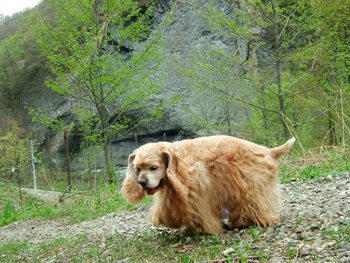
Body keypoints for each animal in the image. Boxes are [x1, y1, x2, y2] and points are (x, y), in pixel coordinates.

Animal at [121, 135, 294, 234]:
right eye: (137, 169)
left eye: (154, 167)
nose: (142, 182)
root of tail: (268, 150)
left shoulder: (199, 188)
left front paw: (205, 228)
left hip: (252, 183)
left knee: (256, 202)